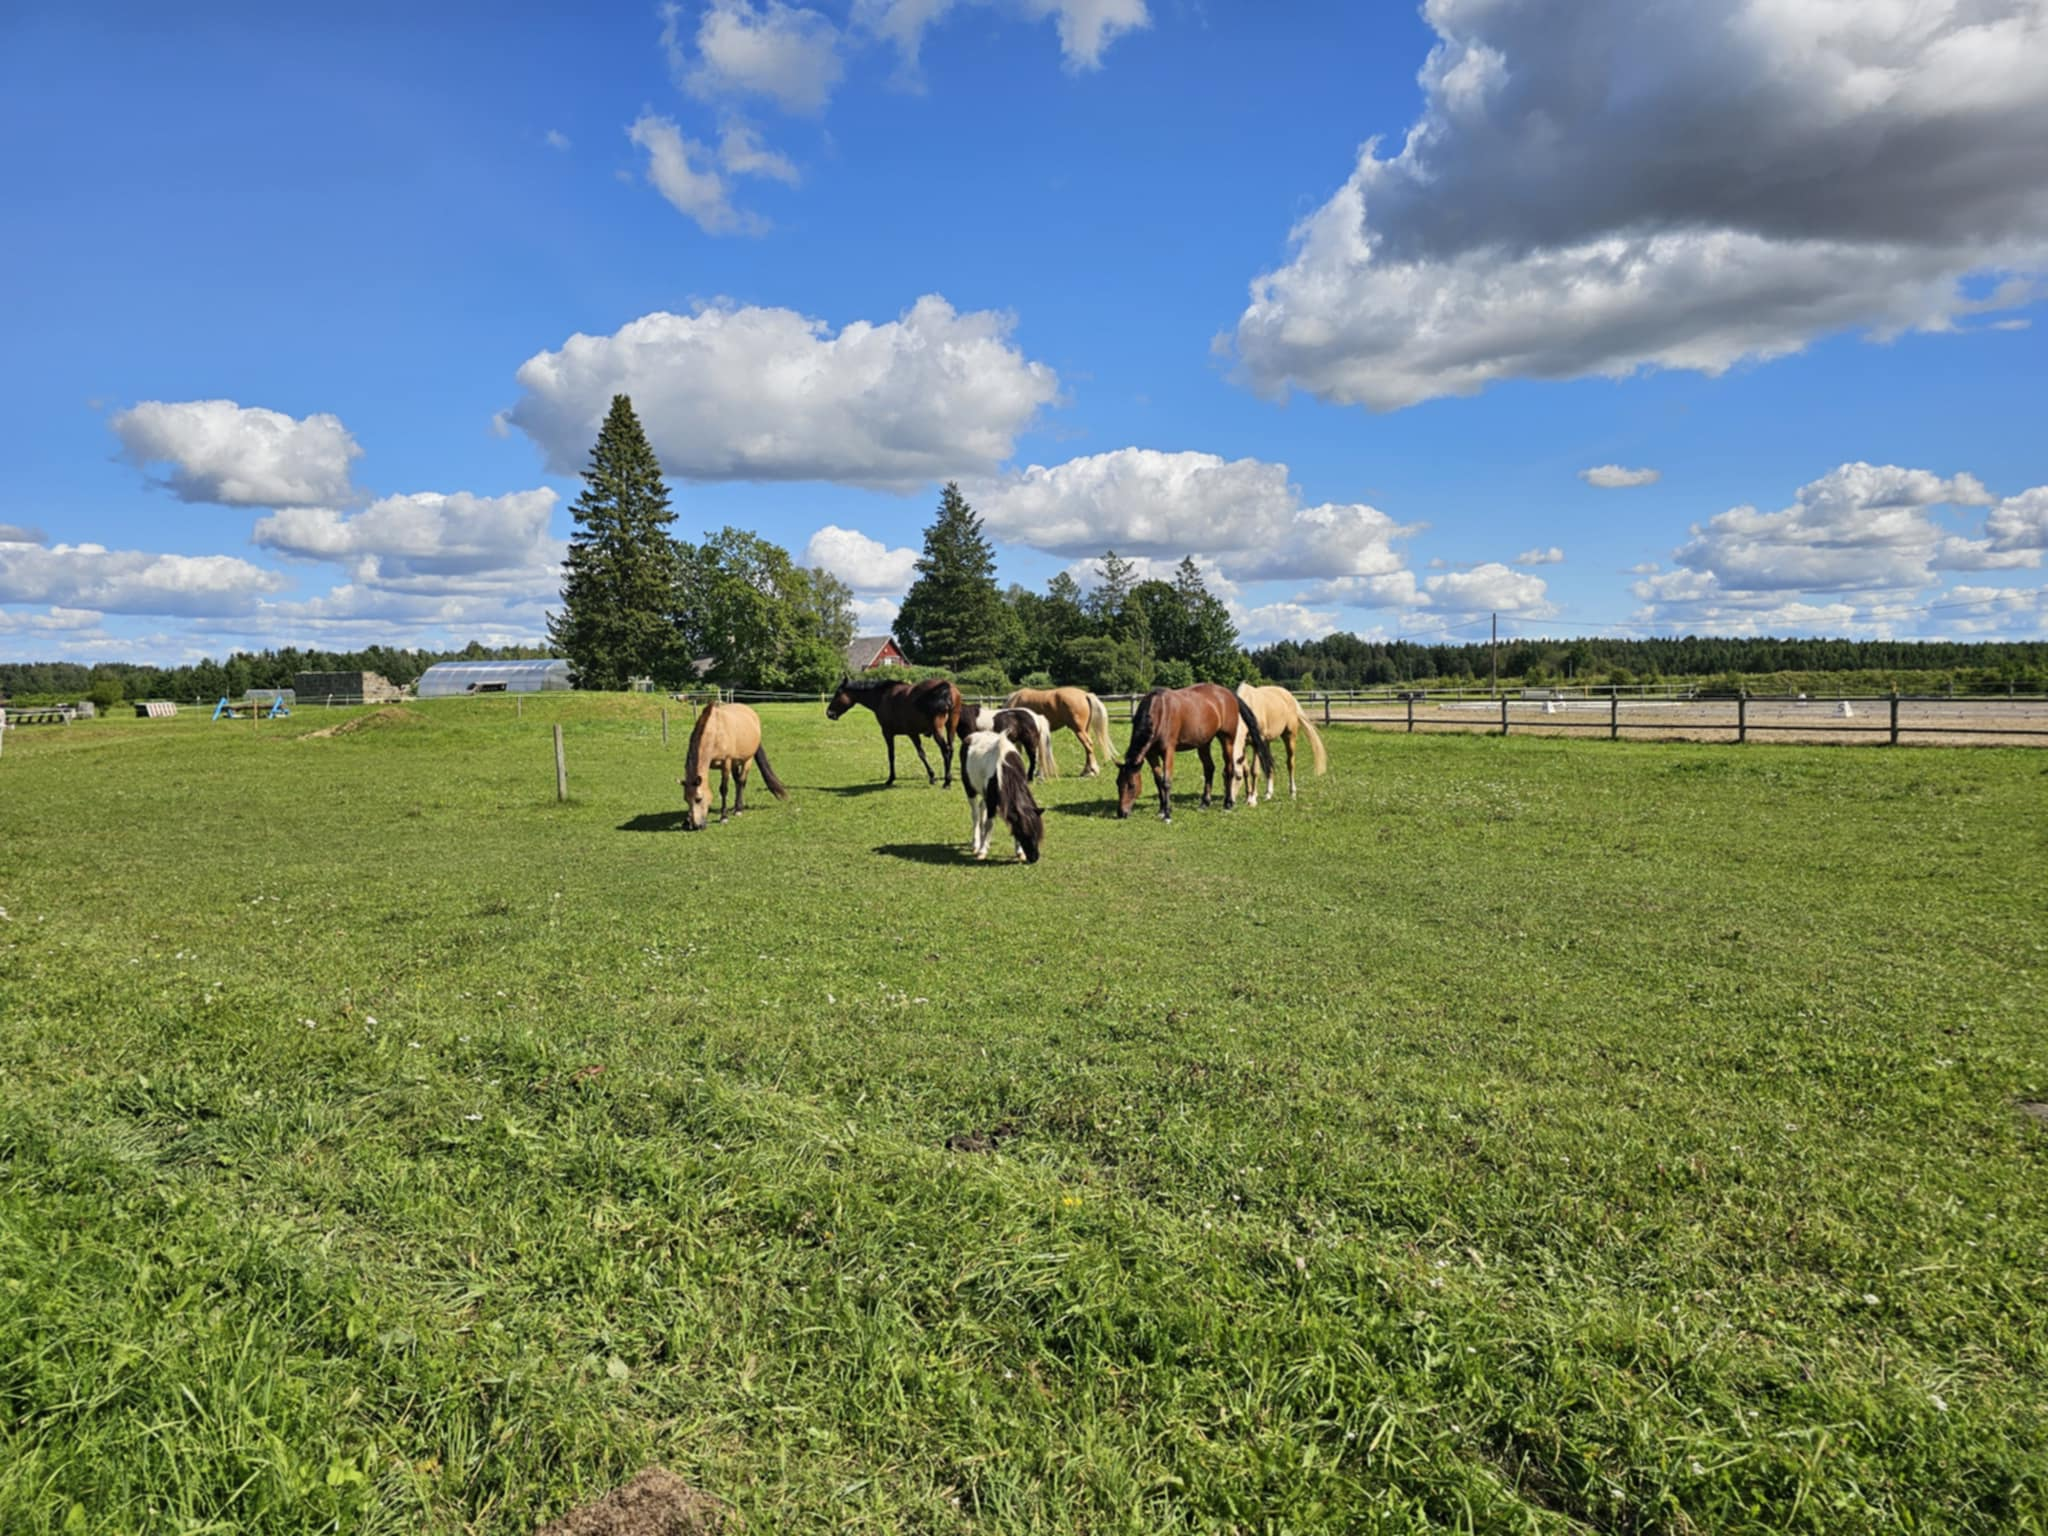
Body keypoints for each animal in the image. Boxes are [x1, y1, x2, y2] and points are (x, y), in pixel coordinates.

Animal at [826, 676, 962, 787]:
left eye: (837, 693)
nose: (829, 713)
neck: (882, 697)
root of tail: (946, 686)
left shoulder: (890, 733)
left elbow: (894, 755)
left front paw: (891, 778)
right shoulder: (912, 733)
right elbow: (921, 754)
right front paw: (932, 777)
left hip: (937, 730)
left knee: (945, 750)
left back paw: (947, 781)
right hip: (951, 727)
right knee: (951, 749)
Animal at [962, 730, 1044, 863]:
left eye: (1037, 832)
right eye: (1024, 833)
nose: (1034, 858)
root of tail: (972, 736)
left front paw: (1019, 852)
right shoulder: (992, 801)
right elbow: (990, 824)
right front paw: (982, 851)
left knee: (981, 808)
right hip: (970, 790)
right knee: (975, 815)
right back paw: (976, 844)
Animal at [1115, 683, 1269, 821]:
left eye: (1131, 785)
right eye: (1117, 783)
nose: (1121, 813)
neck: (1159, 711)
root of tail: (1229, 694)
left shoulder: (1168, 751)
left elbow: (1166, 781)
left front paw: (1167, 814)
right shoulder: (1151, 754)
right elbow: (1158, 781)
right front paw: (1162, 809)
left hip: (1227, 739)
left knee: (1229, 769)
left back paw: (1228, 804)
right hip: (1204, 743)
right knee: (1209, 768)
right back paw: (1204, 803)